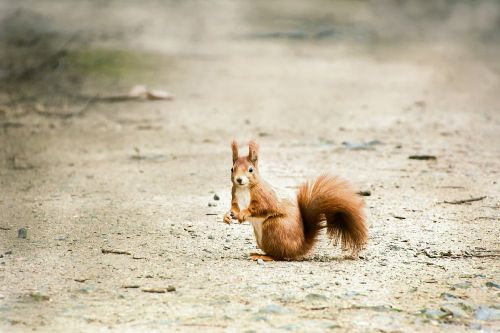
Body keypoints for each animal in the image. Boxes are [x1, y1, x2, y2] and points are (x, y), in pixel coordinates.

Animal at [223, 139, 368, 260]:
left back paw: (263, 257)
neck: (244, 188)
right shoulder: (235, 196)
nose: (239, 179)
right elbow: (234, 207)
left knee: (279, 256)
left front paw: (244, 213)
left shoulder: (264, 195)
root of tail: (299, 248)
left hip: (274, 227)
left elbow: (262, 207)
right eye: (232, 169)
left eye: (251, 170)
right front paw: (228, 216)